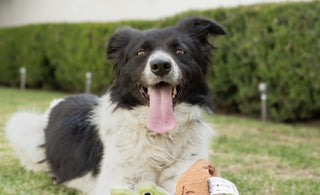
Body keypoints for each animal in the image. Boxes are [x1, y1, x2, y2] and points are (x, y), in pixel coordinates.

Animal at [4, 17, 225, 194]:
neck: (158, 137)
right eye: (140, 52)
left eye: (180, 51)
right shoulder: (115, 181)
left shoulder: (186, 169)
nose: (161, 65)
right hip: (21, 126)